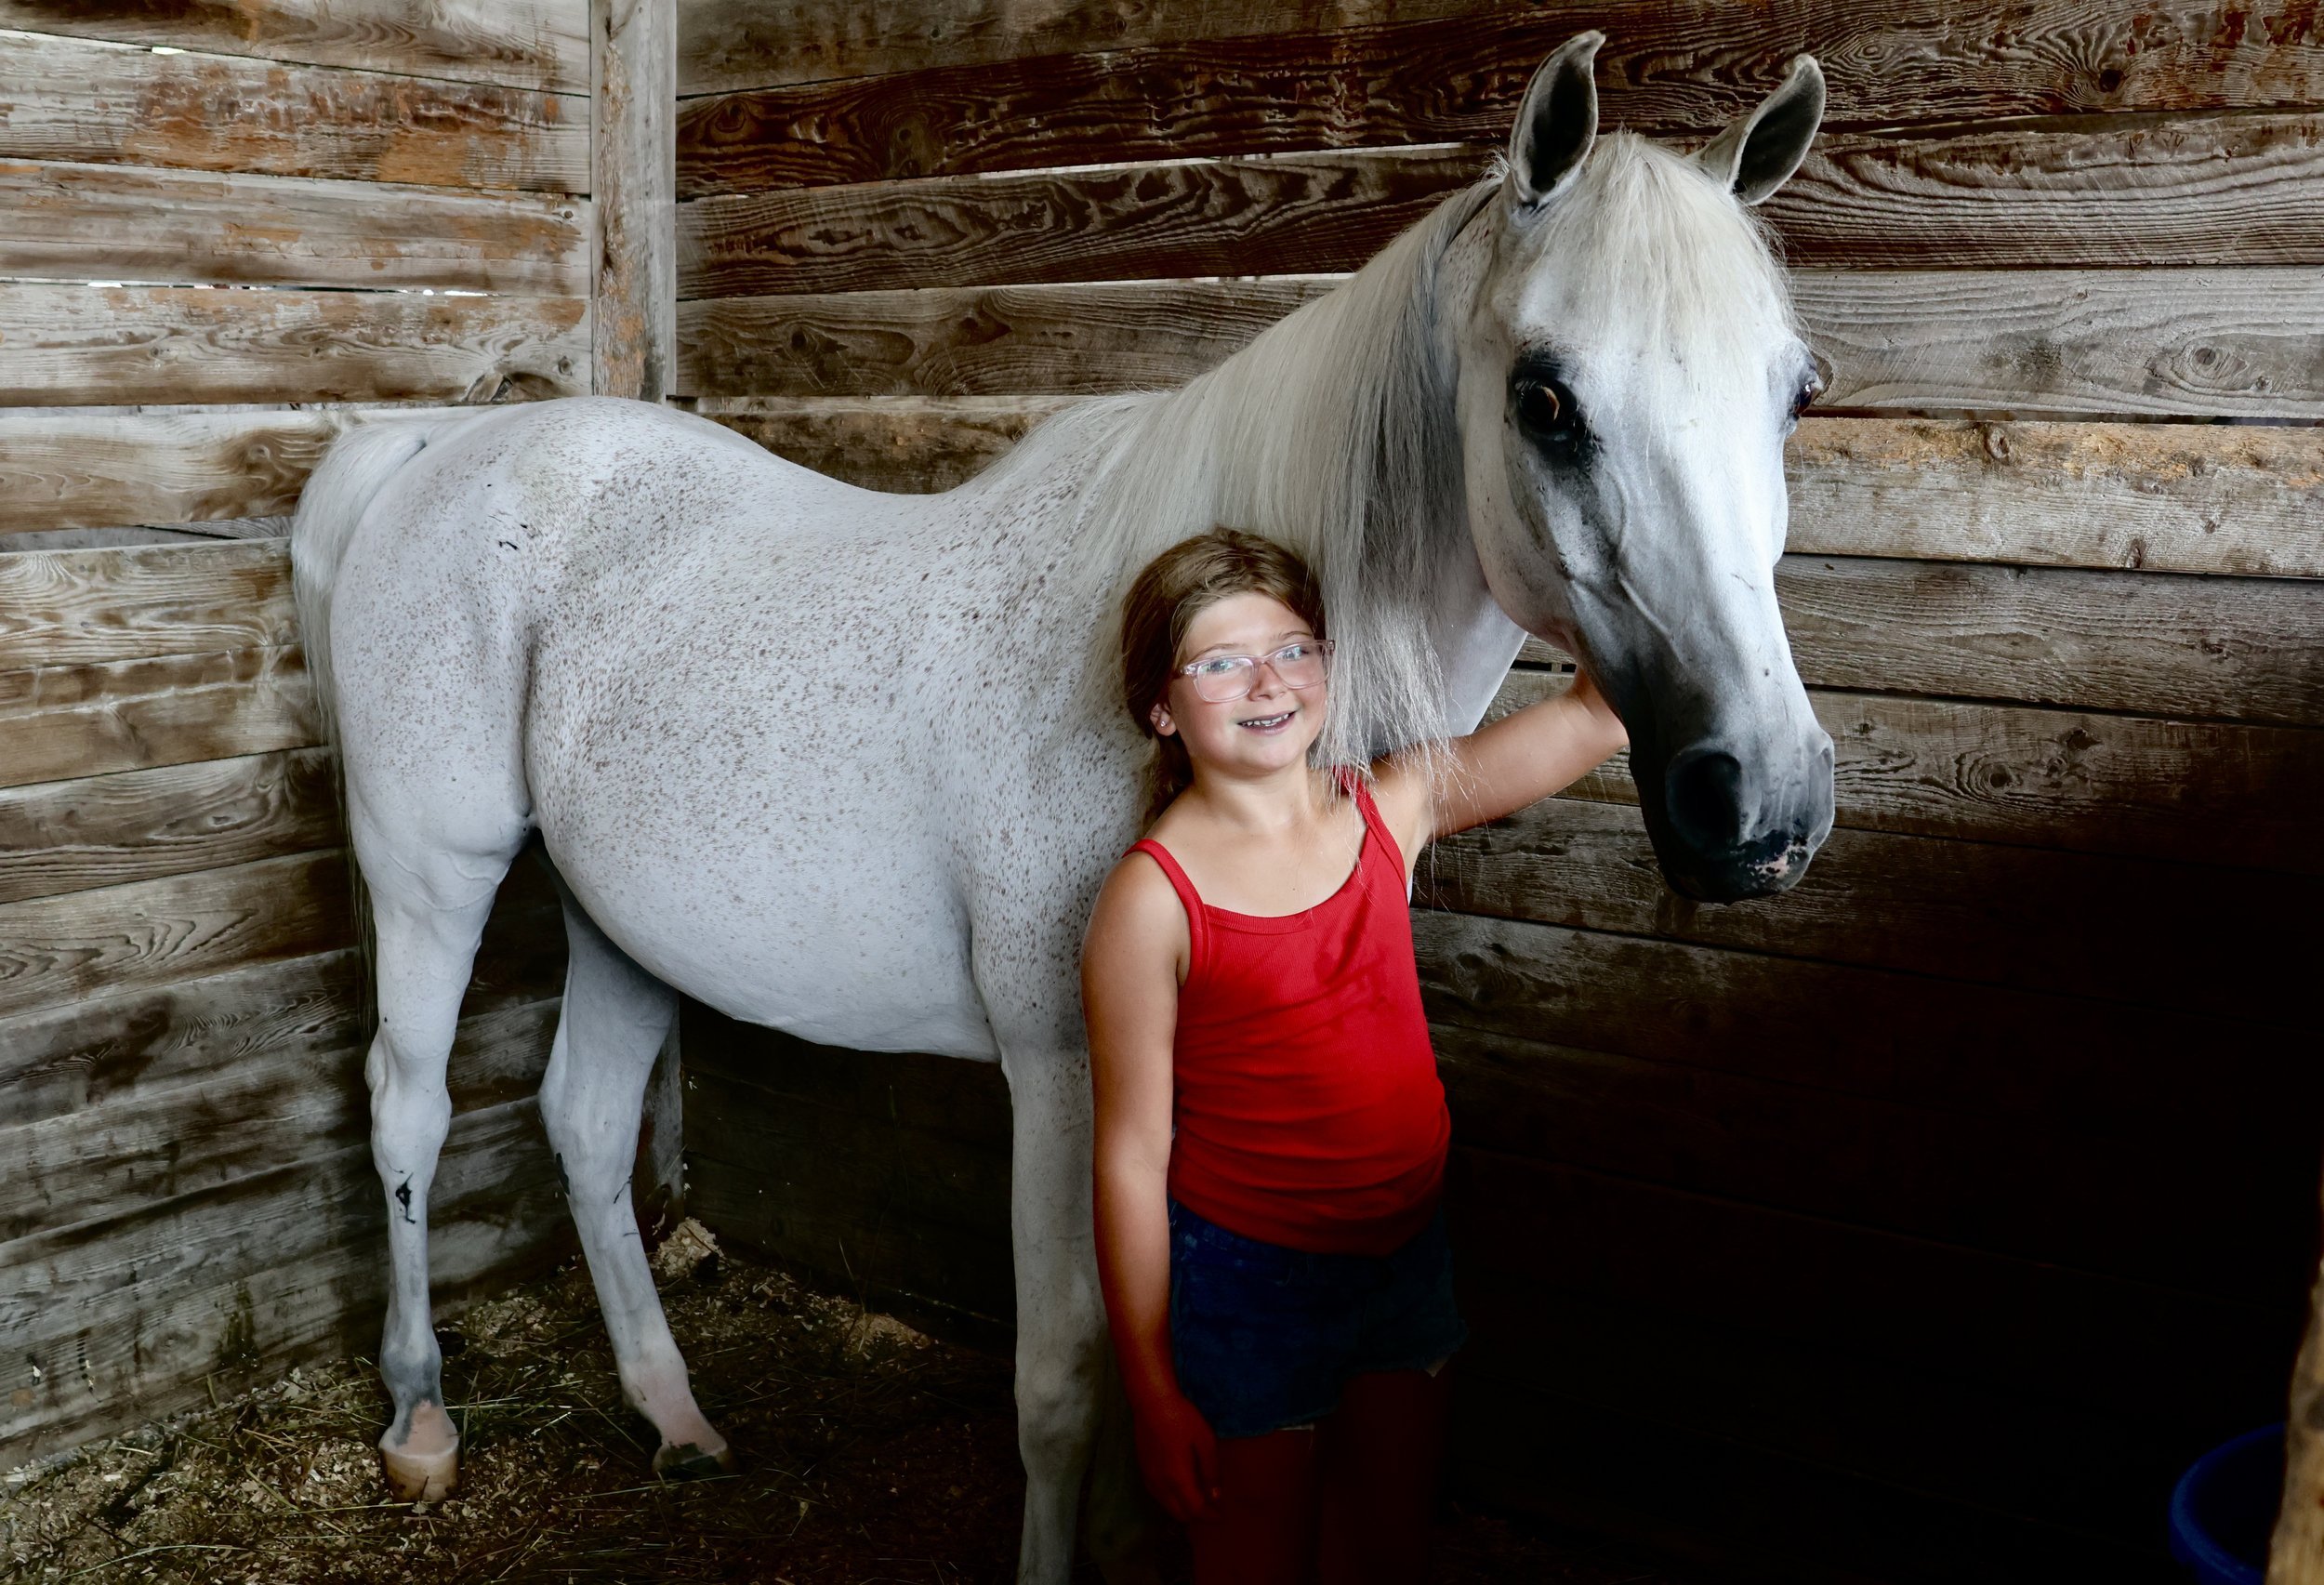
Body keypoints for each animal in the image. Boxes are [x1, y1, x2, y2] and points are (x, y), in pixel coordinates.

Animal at [289, 33, 1834, 1580]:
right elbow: (1064, 1379)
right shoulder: (1064, 1071)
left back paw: (674, 1416)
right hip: (433, 880)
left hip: (619, 917)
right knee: (409, 1110)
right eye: (1544, 399)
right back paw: (420, 1419)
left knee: (590, 1123)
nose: (1758, 800)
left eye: (1797, 394)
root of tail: (427, 455)